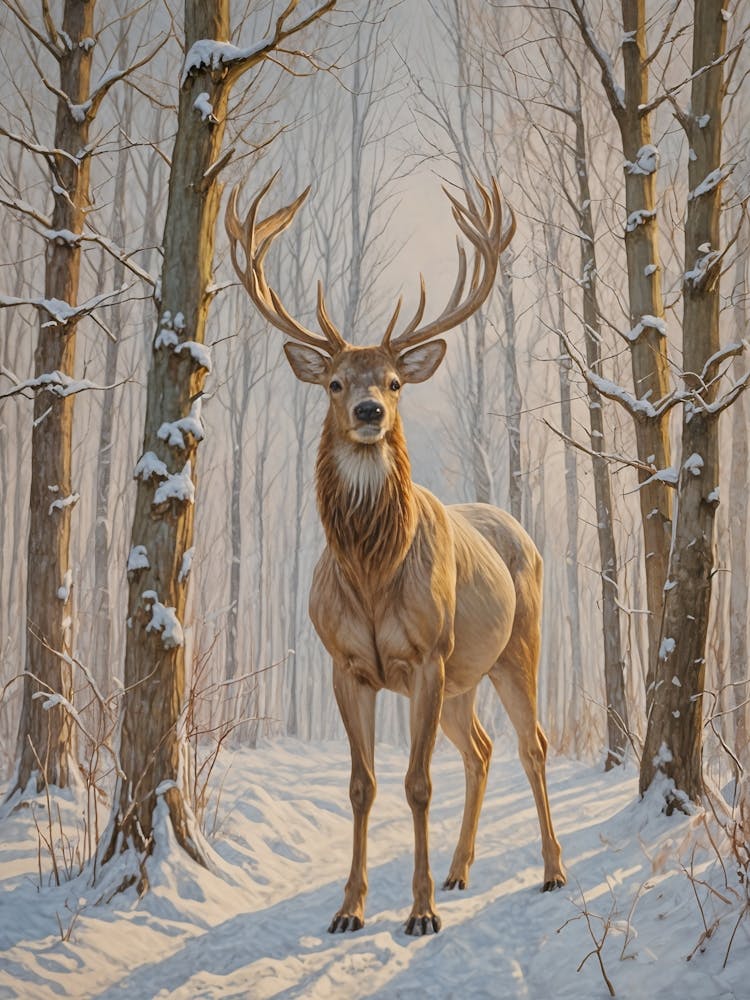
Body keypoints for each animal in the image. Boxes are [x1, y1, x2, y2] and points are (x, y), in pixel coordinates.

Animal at [225, 174, 566, 936]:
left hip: (517, 646)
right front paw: (349, 908)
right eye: (335, 382)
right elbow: (362, 785)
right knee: (482, 749)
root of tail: (518, 527)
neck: (373, 574)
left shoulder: (426, 656)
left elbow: (416, 785)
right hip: (465, 679)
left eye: (395, 382)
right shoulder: (346, 664)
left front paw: (419, 913)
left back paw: (553, 871)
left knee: (531, 744)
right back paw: (461, 869)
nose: (369, 413)